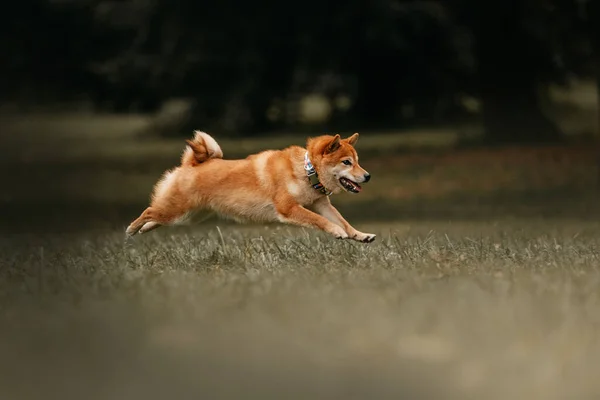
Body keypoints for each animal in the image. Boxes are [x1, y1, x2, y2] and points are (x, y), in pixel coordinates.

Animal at [126, 131, 376, 242]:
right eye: (347, 162)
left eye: (358, 161)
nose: (368, 176)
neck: (306, 171)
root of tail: (192, 164)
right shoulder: (288, 208)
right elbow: (320, 221)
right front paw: (336, 231)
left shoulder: (321, 204)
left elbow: (343, 221)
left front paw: (360, 235)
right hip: (177, 210)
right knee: (149, 211)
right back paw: (131, 229)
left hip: (189, 216)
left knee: (155, 218)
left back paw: (144, 229)